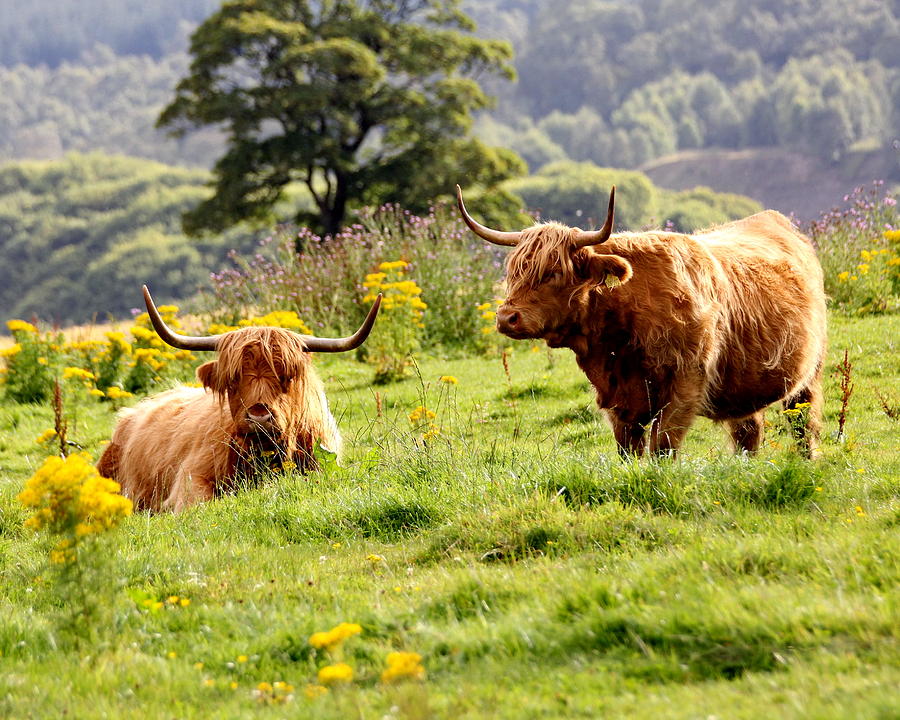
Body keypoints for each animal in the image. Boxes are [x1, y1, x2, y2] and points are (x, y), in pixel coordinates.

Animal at [460, 186, 828, 456]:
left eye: (552, 273)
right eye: (513, 272)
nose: (506, 317)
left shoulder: (686, 385)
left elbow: (662, 446)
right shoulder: (619, 401)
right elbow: (629, 450)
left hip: (809, 374)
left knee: (803, 424)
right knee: (748, 432)